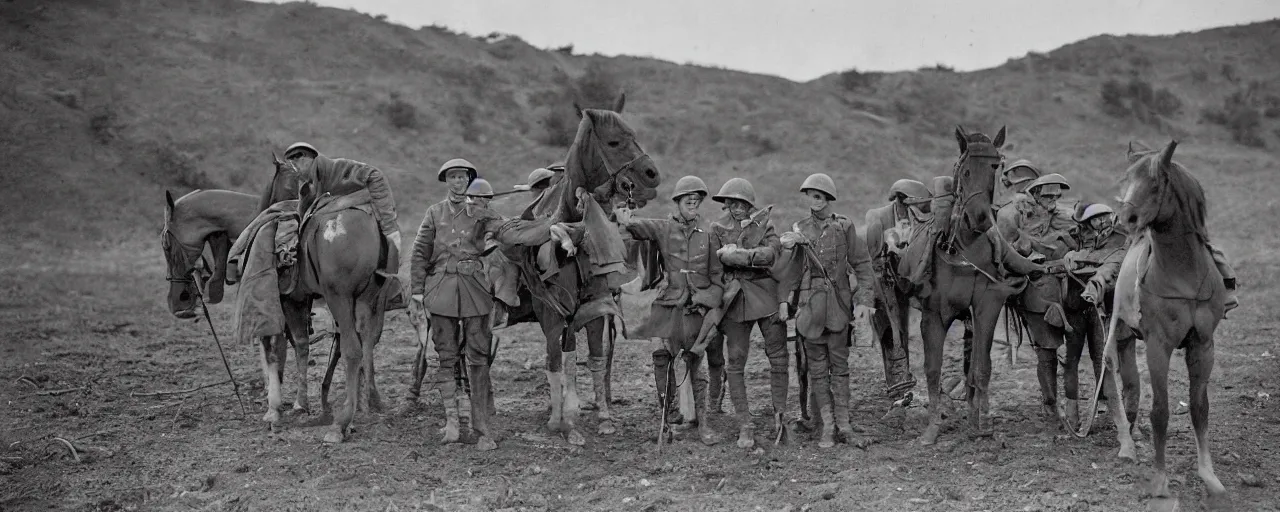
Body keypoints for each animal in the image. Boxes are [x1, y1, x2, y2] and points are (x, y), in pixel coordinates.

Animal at [504, 92, 660, 442]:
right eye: (614, 141)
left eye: (634, 135)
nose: (652, 174)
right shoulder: (552, 314)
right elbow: (558, 363)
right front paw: (563, 421)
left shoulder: (596, 308)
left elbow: (596, 359)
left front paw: (603, 416)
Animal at [1090, 140, 1228, 506]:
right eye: (1126, 179)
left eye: (1155, 183)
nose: (1126, 218)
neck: (1183, 275)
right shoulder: (1158, 347)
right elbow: (1161, 412)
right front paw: (1160, 481)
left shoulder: (1203, 345)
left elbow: (1199, 408)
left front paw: (1209, 477)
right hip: (1114, 335)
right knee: (1111, 380)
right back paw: (1126, 445)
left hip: (1127, 339)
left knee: (1129, 386)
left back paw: (1132, 435)